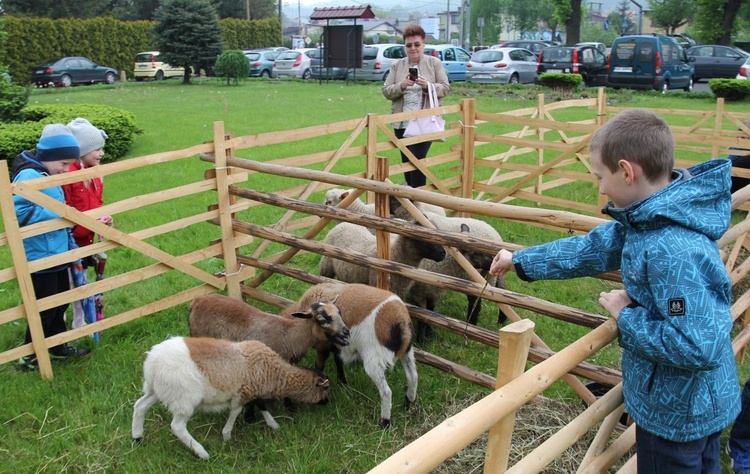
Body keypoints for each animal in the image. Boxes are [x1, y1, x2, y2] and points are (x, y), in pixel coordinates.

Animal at [131, 336, 328, 460]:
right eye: (326, 389)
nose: (327, 402)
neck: (275, 372)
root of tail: (151, 363)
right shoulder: (243, 392)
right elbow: (236, 411)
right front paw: (226, 435)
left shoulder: (253, 388)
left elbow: (260, 404)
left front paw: (273, 424)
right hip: (184, 398)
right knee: (177, 427)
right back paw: (202, 453)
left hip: (158, 390)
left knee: (140, 405)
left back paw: (137, 437)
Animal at [188, 294, 352, 424]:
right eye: (322, 319)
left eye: (339, 312)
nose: (346, 334)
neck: (289, 336)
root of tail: (197, 301)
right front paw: (250, 417)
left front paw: (288, 408)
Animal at [282, 282, 418, 430]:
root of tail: (401, 321)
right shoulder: (338, 345)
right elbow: (338, 361)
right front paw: (342, 382)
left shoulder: (322, 346)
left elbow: (319, 365)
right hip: (407, 351)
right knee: (413, 376)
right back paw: (408, 403)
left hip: (374, 358)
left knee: (386, 392)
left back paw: (384, 422)